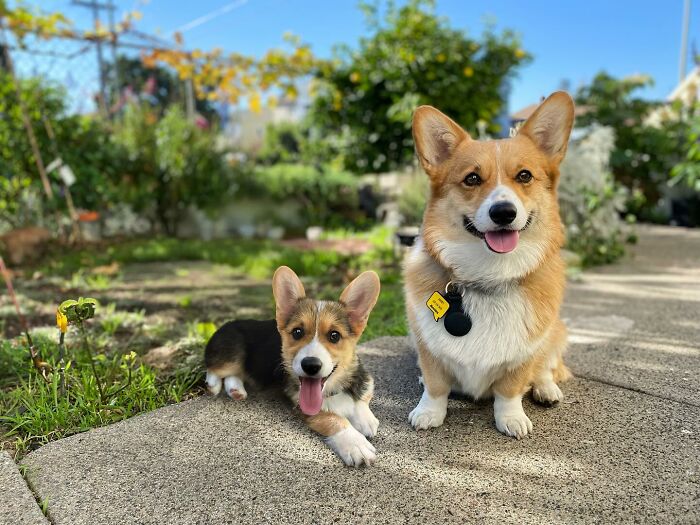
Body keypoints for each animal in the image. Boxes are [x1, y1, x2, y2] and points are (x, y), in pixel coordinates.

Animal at [205, 268, 382, 464]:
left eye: (334, 335)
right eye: (297, 332)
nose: (310, 365)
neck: (334, 388)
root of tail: (225, 325)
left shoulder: (364, 379)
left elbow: (363, 396)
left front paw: (365, 419)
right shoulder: (302, 404)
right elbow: (333, 418)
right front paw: (355, 444)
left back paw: (236, 391)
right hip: (231, 357)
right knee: (211, 368)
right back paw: (213, 386)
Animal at [404, 91, 576, 438]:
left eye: (524, 176)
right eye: (472, 178)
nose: (503, 213)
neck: (490, 276)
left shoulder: (525, 353)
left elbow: (510, 389)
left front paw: (511, 418)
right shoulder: (427, 347)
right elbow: (435, 385)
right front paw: (428, 412)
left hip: (556, 332)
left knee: (546, 367)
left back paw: (546, 389)